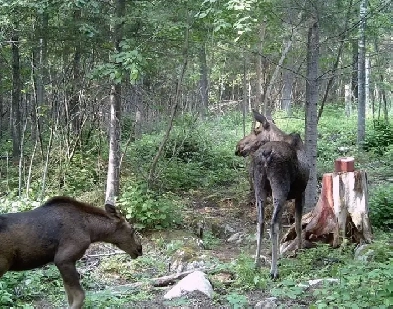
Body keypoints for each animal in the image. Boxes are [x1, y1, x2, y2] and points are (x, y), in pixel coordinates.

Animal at [0, 196, 142, 306]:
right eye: (132, 230)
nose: (140, 249)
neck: (92, 231)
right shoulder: (63, 259)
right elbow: (80, 296)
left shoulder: (65, 262)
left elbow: (70, 296)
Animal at [234, 109, 308, 278]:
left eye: (257, 129)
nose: (238, 146)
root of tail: (266, 153)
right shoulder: (300, 193)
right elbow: (297, 224)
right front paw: (298, 250)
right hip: (280, 189)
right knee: (272, 224)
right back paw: (274, 270)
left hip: (259, 189)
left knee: (260, 223)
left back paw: (256, 264)